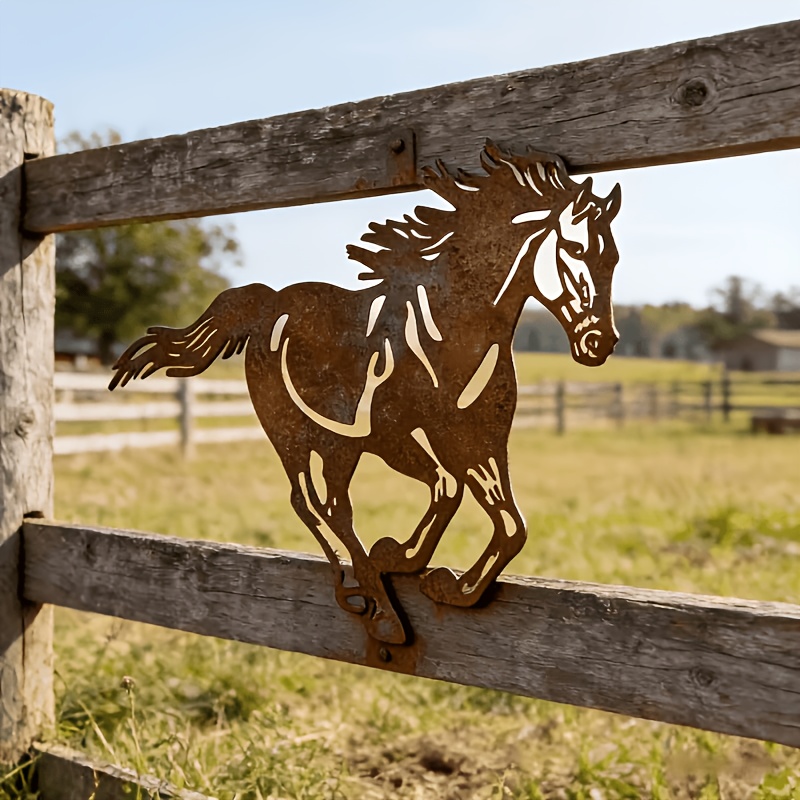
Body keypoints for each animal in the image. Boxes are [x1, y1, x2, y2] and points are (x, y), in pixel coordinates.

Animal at [110, 141, 621, 645]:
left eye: (612, 258)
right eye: (574, 247)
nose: (600, 343)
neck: (454, 329)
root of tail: (267, 302)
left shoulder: (479, 438)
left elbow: (508, 522)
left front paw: (447, 583)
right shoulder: (394, 436)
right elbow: (449, 487)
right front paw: (403, 558)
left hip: (339, 443)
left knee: (333, 504)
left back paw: (365, 592)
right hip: (292, 433)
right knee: (311, 503)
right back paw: (377, 609)